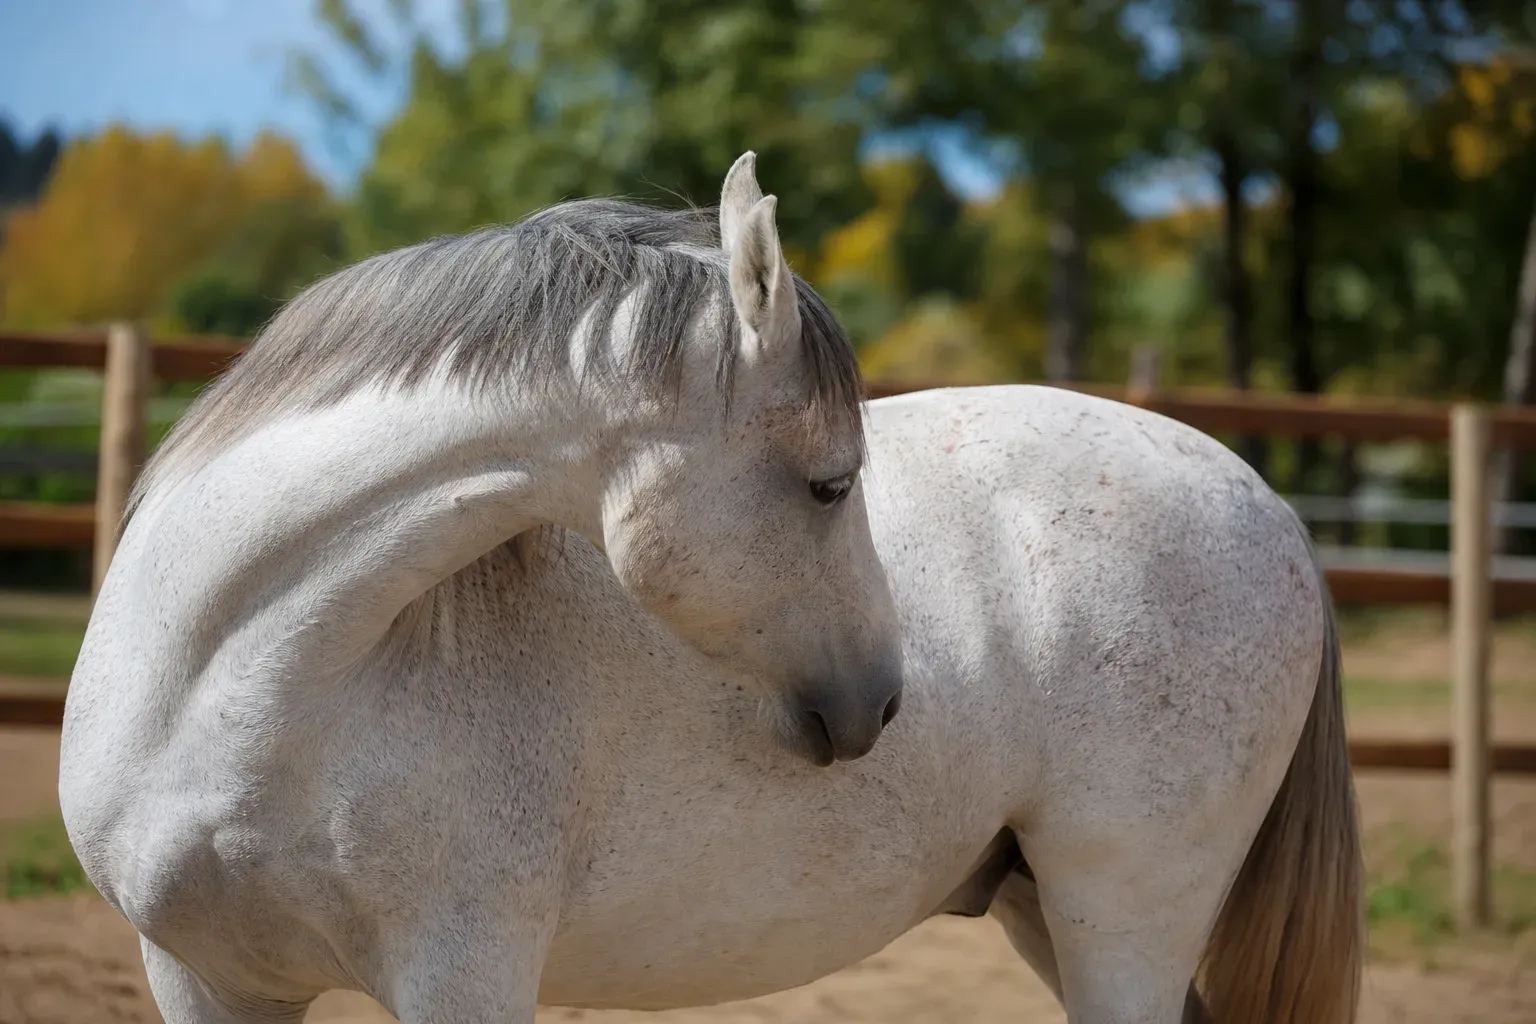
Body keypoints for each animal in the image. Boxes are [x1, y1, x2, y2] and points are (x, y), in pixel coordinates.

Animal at [59, 154, 1363, 1024]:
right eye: (832, 483)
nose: (879, 702)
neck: (242, 688)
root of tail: (1271, 507)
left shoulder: (461, 971)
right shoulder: (205, 981)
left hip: (1120, 919)